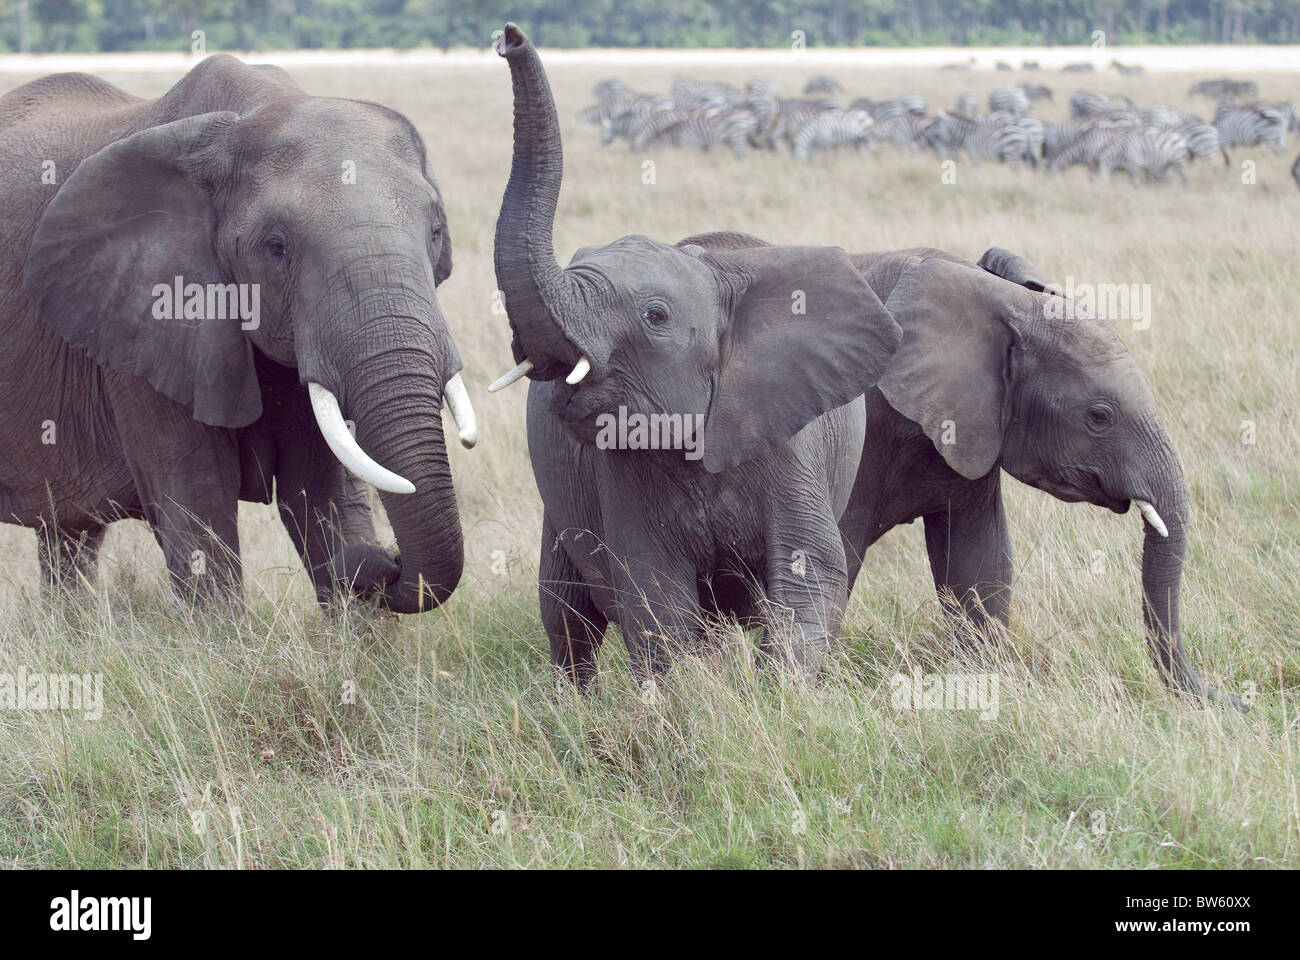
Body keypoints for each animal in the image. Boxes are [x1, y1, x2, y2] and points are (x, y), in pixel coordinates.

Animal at [0, 54, 475, 606]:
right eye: (276, 247)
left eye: (436, 232)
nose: (385, 561)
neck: (251, 112)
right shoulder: (142, 324)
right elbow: (198, 503)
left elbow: (323, 492)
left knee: (68, 535)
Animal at [488, 26, 904, 686]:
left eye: (655, 315)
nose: (508, 37)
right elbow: (651, 588)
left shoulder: (791, 437)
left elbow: (808, 568)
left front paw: (785, 694)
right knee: (566, 610)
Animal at [686, 228, 1242, 707]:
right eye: (1099, 417)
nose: (1239, 700)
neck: (999, 300)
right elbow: (838, 560)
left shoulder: (971, 432)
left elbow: (979, 562)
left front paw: (976, 684)